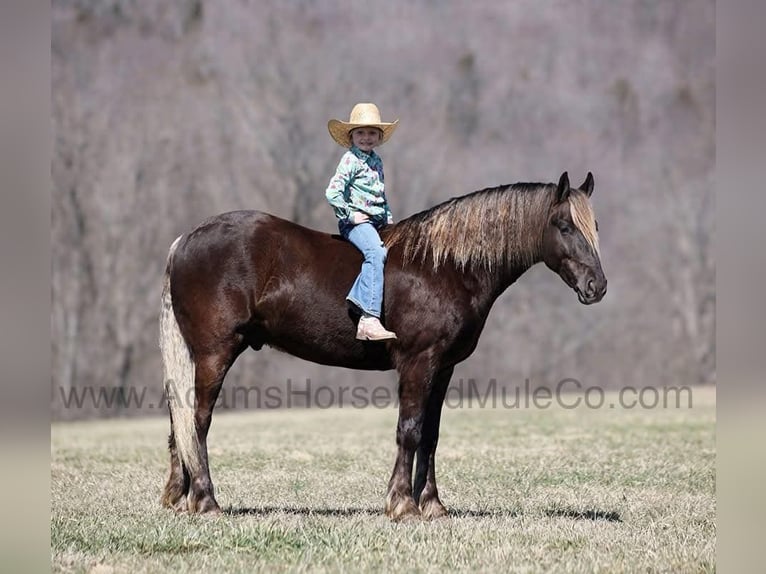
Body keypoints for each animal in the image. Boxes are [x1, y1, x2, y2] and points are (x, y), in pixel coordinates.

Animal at [159, 171, 607, 521]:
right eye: (564, 226)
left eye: (595, 225)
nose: (597, 287)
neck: (444, 266)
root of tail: (183, 241)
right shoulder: (418, 362)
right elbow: (409, 430)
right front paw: (403, 504)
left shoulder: (443, 368)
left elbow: (430, 435)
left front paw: (432, 505)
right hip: (215, 353)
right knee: (197, 422)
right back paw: (206, 501)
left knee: (179, 424)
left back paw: (179, 498)